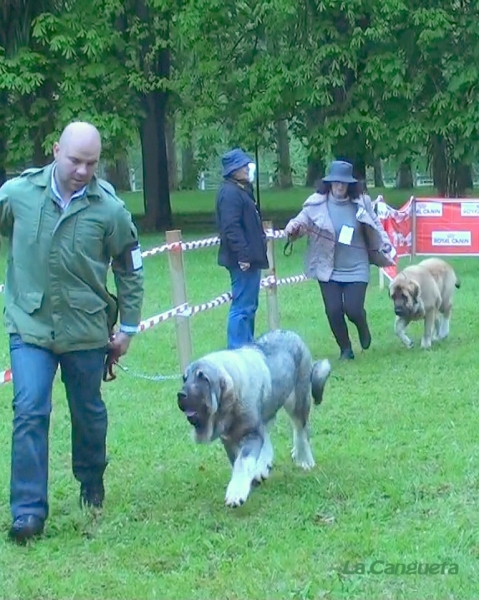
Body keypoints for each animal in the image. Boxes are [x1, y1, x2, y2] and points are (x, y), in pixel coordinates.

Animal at [178, 330, 332, 508]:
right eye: (185, 378)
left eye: (203, 378)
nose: (180, 394)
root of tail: (291, 333)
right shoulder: (229, 440)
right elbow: (237, 461)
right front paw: (255, 475)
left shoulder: (251, 433)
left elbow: (243, 462)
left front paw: (236, 494)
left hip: (298, 400)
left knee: (301, 430)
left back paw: (304, 459)